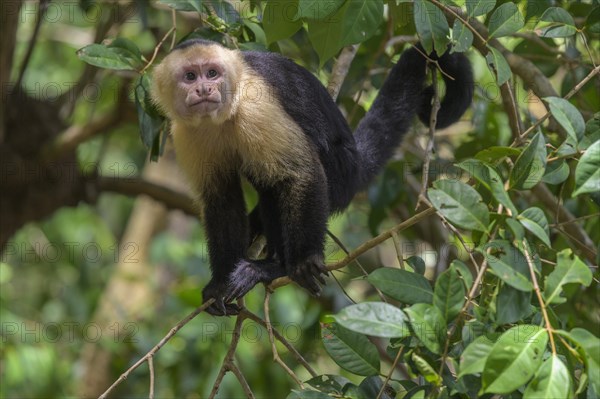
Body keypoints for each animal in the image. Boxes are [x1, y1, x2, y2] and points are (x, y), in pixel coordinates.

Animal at [151, 38, 474, 316]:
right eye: (190, 76)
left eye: (212, 73)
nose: (205, 89)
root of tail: (355, 165)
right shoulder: (186, 132)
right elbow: (220, 200)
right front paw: (219, 285)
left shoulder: (255, 106)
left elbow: (301, 172)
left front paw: (301, 262)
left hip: (340, 173)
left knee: (277, 181)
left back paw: (274, 267)